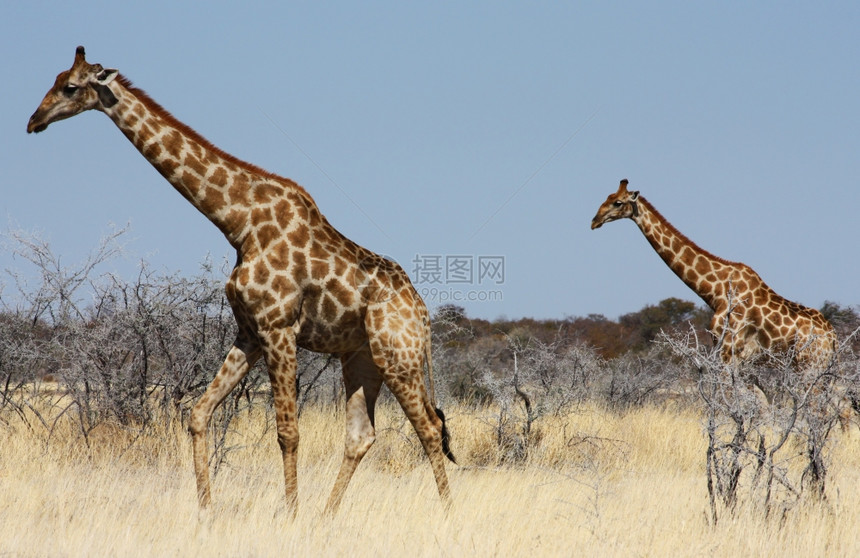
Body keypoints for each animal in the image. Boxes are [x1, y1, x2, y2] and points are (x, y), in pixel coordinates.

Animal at [28, 47, 456, 516]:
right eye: (54, 79)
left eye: (70, 87)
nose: (34, 120)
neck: (239, 224)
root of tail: (423, 315)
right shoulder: (249, 331)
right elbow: (198, 414)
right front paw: (205, 510)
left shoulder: (278, 327)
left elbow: (288, 432)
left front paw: (289, 516)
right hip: (361, 358)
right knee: (363, 435)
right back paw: (327, 517)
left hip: (398, 355)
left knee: (429, 428)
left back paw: (446, 516)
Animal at [588, 179, 836, 372]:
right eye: (607, 197)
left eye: (618, 202)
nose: (594, 221)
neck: (716, 291)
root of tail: (833, 337)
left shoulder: (727, 352)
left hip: (810, 366)